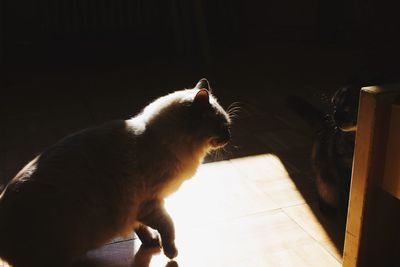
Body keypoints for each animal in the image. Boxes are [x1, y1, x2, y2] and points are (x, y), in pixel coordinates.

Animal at [0, 79, 231, 267]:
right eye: (222, 126)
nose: (229, 136)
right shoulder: (151, 203)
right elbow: (168, 225)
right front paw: (170, 252)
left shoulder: (138, 211)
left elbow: (142, 229)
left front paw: (151, 243)